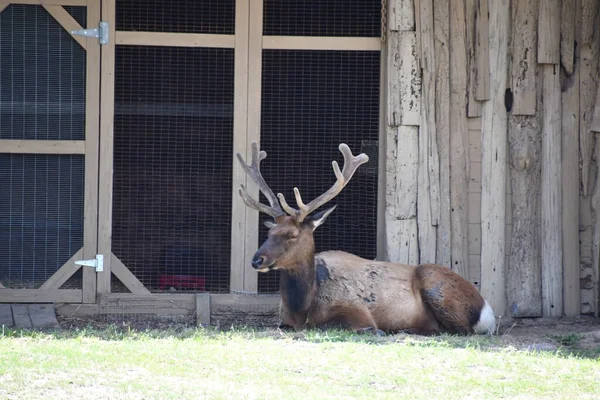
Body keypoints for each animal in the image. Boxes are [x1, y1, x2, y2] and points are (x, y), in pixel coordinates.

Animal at [237, 142, 494, 336]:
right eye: (269, 232)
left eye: (292, 235)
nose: (257, 260)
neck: (303, 305)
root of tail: (487, 310)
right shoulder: (286, 320)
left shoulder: (357, 310)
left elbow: (327, 326)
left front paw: (376, 331)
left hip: (434, 282)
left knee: (460, 330)